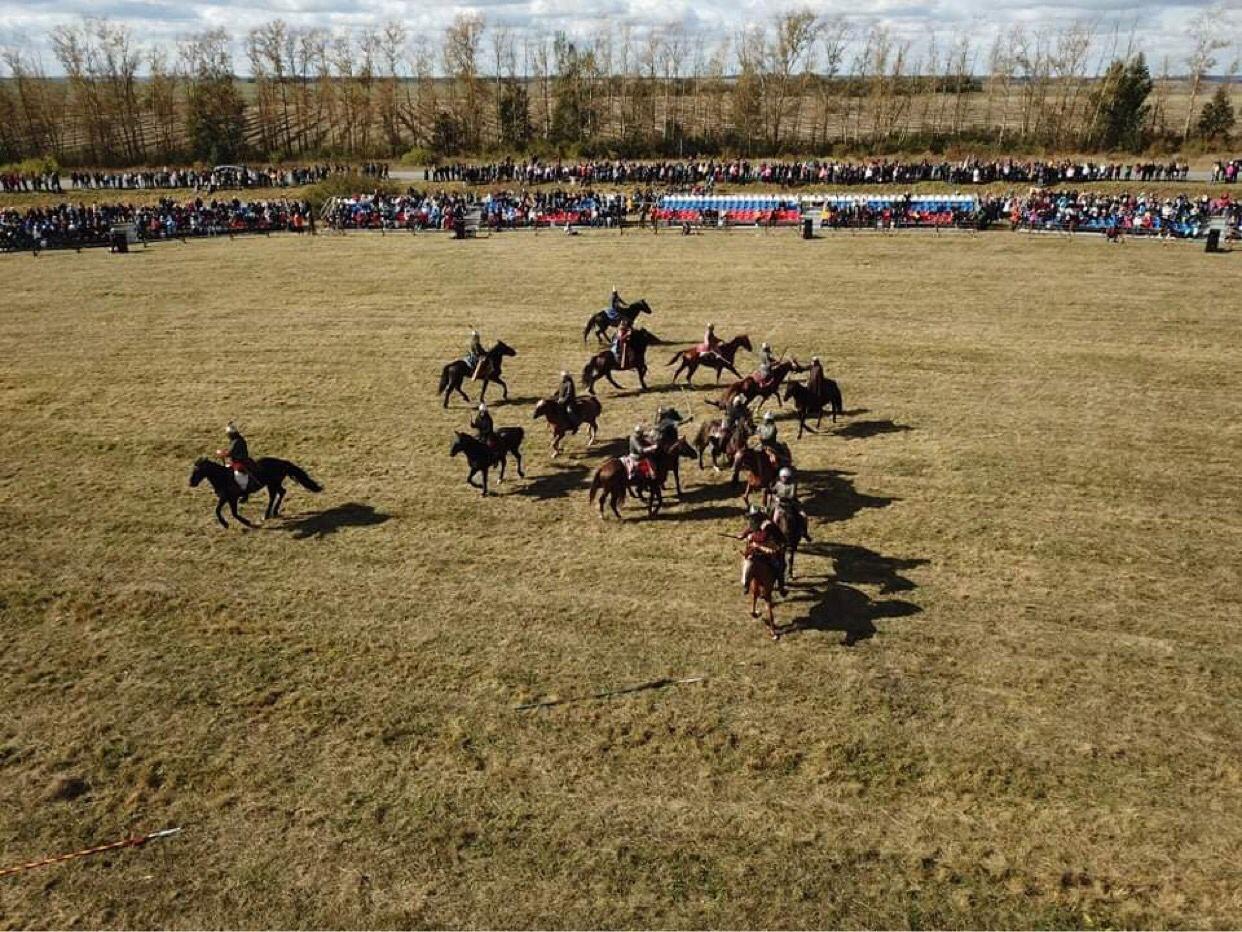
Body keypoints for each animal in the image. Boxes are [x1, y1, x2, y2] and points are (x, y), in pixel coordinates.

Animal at [188, 457, 322, 529]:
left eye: (197, 470)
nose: (191, 483)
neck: (223, 477)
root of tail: (282, 462)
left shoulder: (232, 498)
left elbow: (234, 513)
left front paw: (247, 523)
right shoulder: (225, 498)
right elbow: (217, 510)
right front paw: (225, 524)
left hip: (272, 484)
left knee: (274, 496)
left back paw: (267, 514)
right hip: (274, 484)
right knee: (282, 492)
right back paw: (274, 512)